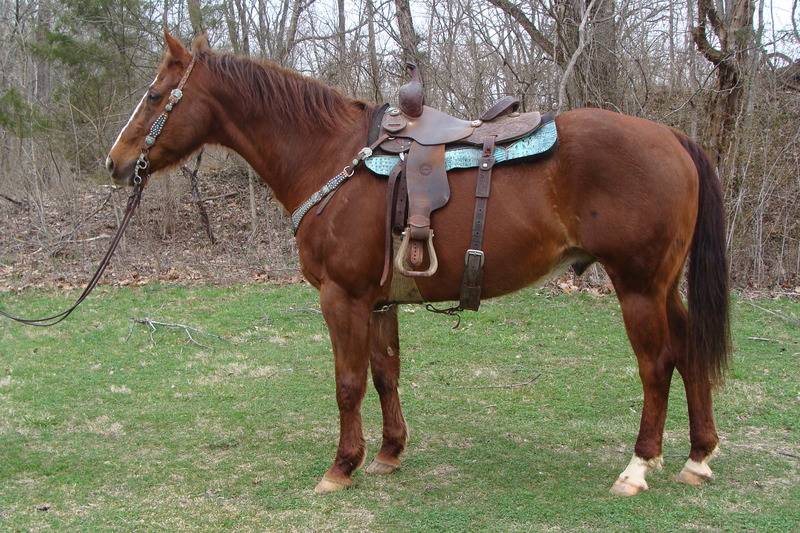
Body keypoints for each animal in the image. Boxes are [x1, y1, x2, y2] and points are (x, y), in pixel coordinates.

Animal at [106, 31, 732, 494]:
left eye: (157, 97)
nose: (116, 163)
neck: (330, 158)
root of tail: (673, 137)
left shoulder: (341, 297)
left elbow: (348, 383)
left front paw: (342, 466)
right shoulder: (379, 300)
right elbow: (386, 374)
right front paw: (388, 453)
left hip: (638, 286)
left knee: (657, 366)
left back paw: (638, 467)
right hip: (662, 286)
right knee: (689, 351)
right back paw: (697, 457)